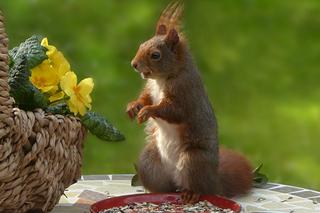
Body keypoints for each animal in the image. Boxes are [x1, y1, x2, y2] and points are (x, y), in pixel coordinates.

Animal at [126, 1, 254, 203]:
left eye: (155, 55)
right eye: (141, 45)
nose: (134, 64)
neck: (162, 79)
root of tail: (214, 181)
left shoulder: (185, 93)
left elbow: (173, 110)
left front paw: (148, 111)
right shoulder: (150, 89)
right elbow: (145, 98)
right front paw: (133, 107)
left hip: (193, 160)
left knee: (197, 186)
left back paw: (191, 193)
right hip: (148, 162)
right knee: (168, 186)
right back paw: (156, 193)